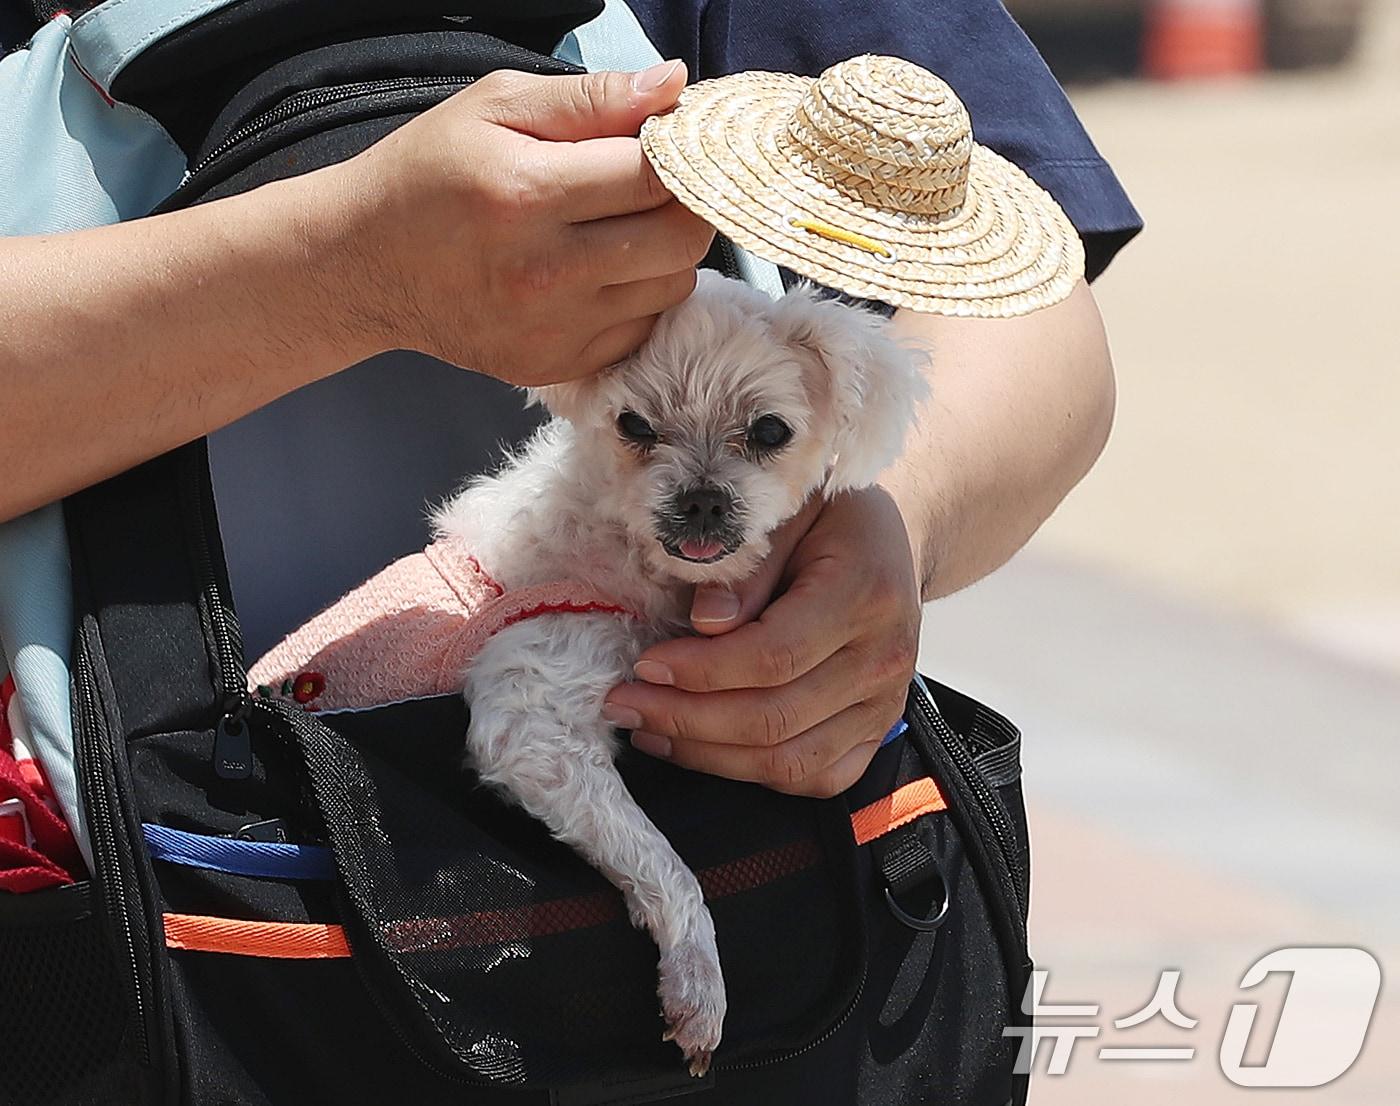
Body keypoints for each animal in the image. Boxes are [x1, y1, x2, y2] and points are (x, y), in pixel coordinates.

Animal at [431, 273, 924, 1080]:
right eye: (632, 424)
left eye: (770, 432)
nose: (700, 497)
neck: (627, 557)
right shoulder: (530, 720)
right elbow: (665, 862)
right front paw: (698, 982)